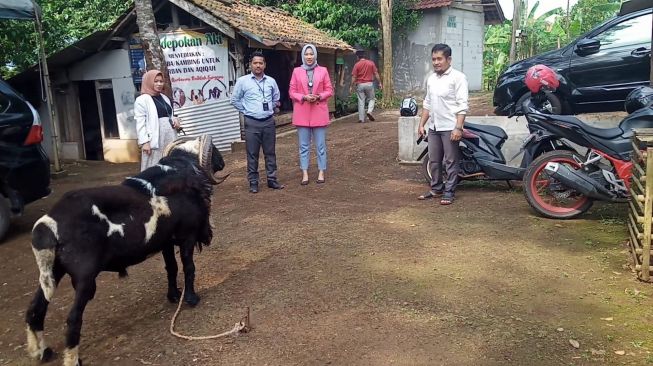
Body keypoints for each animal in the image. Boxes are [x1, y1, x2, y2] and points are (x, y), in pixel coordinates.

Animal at [25, 135, 225, 366]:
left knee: (35, 309)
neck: (183, 169)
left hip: (53, 271)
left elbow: (172, 268)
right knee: (73, 319)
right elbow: (188, 267)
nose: (222, 162)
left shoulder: (165, 241)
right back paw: (72, 360)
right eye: (215, 149)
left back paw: (42, 352)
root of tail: (48, 225)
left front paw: (174, 296)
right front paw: (191, 299)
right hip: (85, 278)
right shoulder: (187, 236)